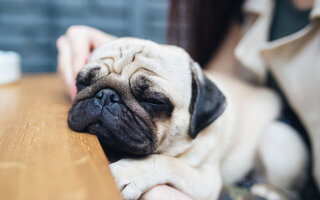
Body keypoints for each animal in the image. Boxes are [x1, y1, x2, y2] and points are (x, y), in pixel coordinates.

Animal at [67, 38, 308, 200]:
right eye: (83, 81)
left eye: (153, 100)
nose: (107, 95)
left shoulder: (207, 181)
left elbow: (166, 162)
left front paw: (129, 172)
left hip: (277, 136)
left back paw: (267, 190)